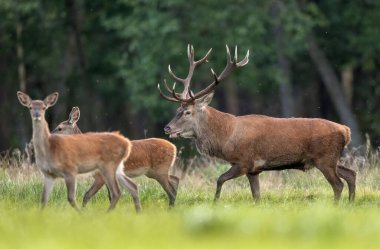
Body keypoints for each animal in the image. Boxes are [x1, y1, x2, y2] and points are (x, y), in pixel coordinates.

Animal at [52, 106, 180, 207]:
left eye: (59, 128)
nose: (51, 136)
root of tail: (174, 147)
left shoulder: (100, 176)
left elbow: (87, 195)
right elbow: (109, 196)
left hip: (159, 170)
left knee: (171, 190)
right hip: (154, 172)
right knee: (175, 179)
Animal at [158, 45, 356, 202]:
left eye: (187, 112)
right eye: (177, 110)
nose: (167, 127)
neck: (225, 138)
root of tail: (346, 130)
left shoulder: (244, 161)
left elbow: (219, 179)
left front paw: (215, 203)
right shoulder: (254, 170)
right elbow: (256, 196)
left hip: (325, 158)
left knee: (338, 184)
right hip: (330, 159)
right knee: (351, 174)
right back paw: (350, 204)